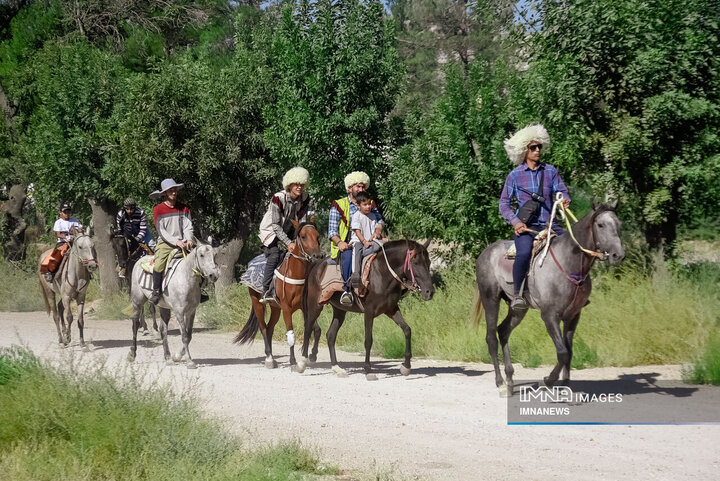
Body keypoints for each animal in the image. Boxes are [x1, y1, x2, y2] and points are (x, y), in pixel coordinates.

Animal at [126, 240, 218, 368]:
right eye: (201, 255)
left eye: (214, 255)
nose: (214, 275)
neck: (186, 278)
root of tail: (139, 260)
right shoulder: (179, 311)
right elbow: (184, 336)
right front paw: (189, 361)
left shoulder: (191, 312)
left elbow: (189, 335)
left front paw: (176, 356)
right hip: (137, 301)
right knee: (135, 324)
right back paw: (132, 354)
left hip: (163, 307)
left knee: (163, 330)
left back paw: (168, 357)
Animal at [233, 220, 324, 368]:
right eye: (303, 236)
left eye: (317, 235)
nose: (317, 256)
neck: (295, 272)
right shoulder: (286, 309)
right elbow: (291, 335)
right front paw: (293, 361)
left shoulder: (304, 307)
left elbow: (315, 330)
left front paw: (312, 355)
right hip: (258, 303)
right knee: (263, 328)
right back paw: (269, 358)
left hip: (275, 308)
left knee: (270, 328)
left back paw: (271, 356)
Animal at [296, 239, 434, 376]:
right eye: (415, 263)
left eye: (429, 262)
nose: (429, 292)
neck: (382, 273)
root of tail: (317, 265)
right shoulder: (369, 312)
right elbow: (368, 340)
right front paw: (367, 368)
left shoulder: (391, 309)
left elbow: (407, 330)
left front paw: (406, 365)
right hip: (315, 305)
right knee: (308, 329)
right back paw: (302, 363)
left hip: (340, 310)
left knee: (330, 335)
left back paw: (336, 368)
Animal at [476, 202, 620, 394]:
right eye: (601, 225)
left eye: (618, 224)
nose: (618, 255)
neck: (569, 262)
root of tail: (485, 253)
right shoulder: (550, 315)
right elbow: (563, 352)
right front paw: (548, 380)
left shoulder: (573, 316)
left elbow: (569, 351)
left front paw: (565, 385)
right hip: (490, 299)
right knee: (491, 337)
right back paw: (500, 383)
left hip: (518, 309)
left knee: (503, 331)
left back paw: (510, 379)